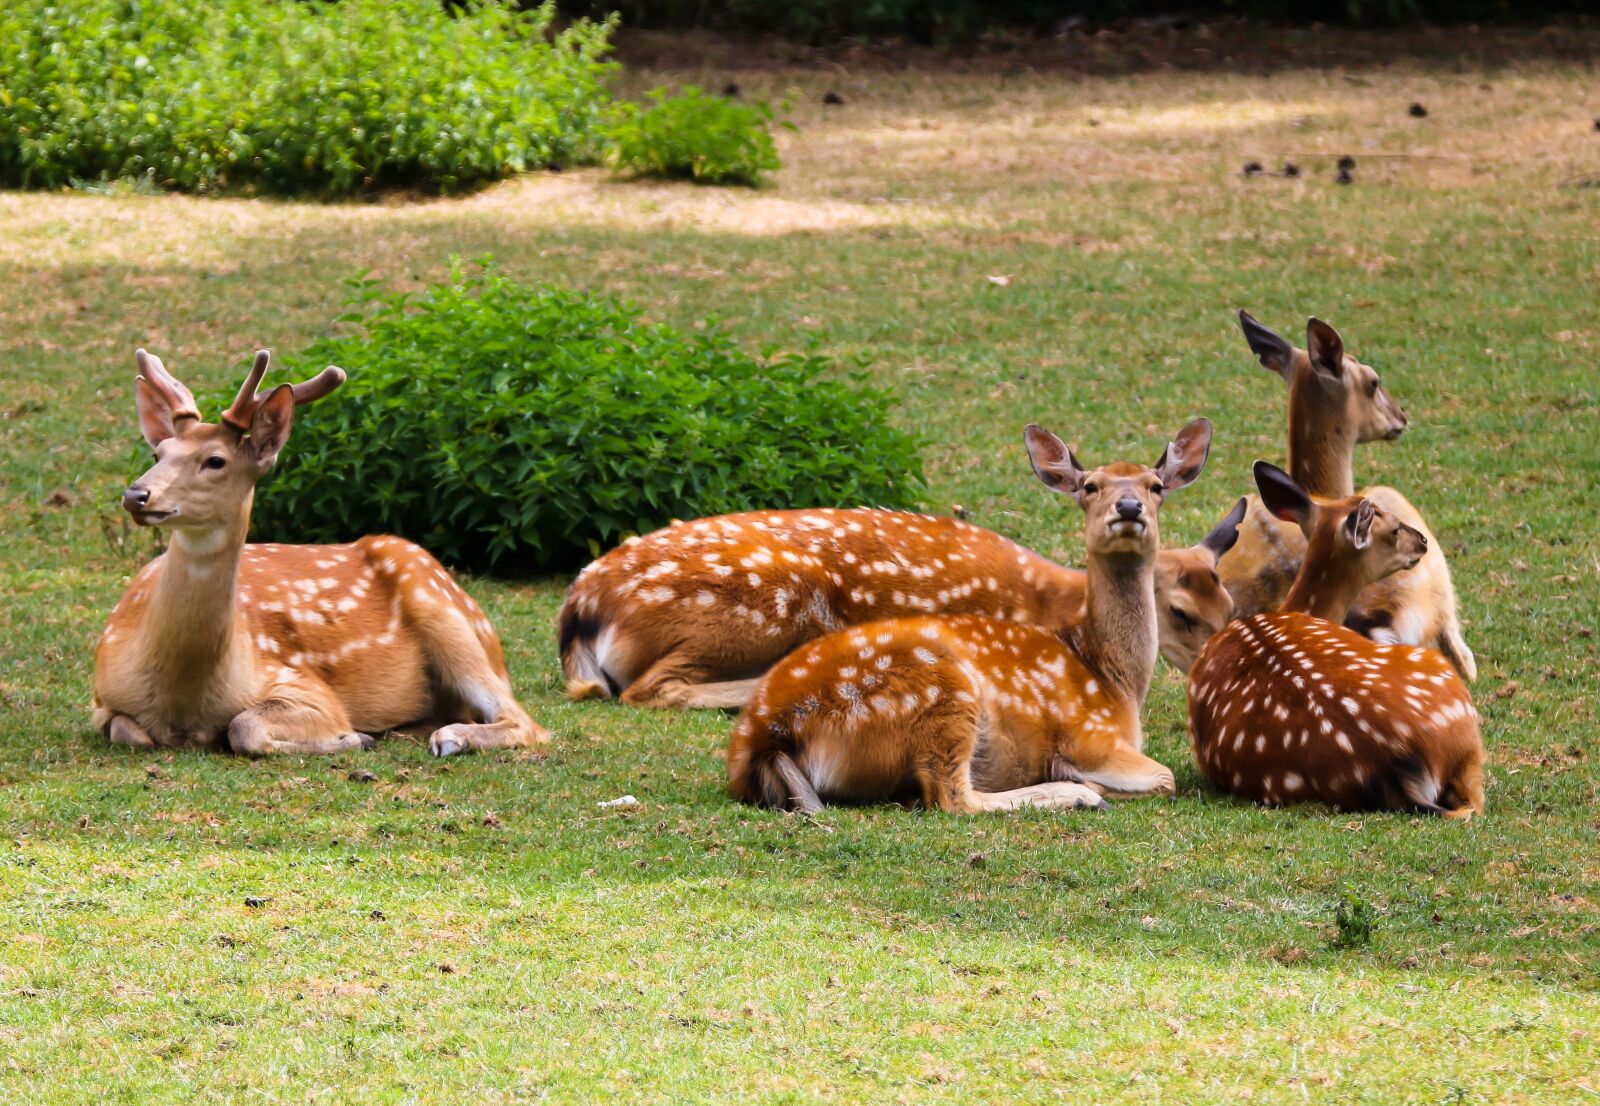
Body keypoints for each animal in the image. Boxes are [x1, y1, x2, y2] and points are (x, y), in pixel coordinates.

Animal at [92, 350, 550, 758]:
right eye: (159, 452)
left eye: (215, 460)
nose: (137, 495)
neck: (184, 702)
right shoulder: (100, 697)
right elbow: (126, 731)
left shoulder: (303, 685)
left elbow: (244, 727)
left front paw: (354, 737)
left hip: (448, 618)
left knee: (529, 722)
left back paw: (451, 737)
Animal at [726, 416, 1209, 813]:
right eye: (1090, 486)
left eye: (1155, 486)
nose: (1128, 507)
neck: (1114, 679)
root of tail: (769, 736)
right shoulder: (1092, 737)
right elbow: (1166, 777)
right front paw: (1082, 780)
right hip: (943, 693)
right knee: (951, 796)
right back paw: (1076, 794)